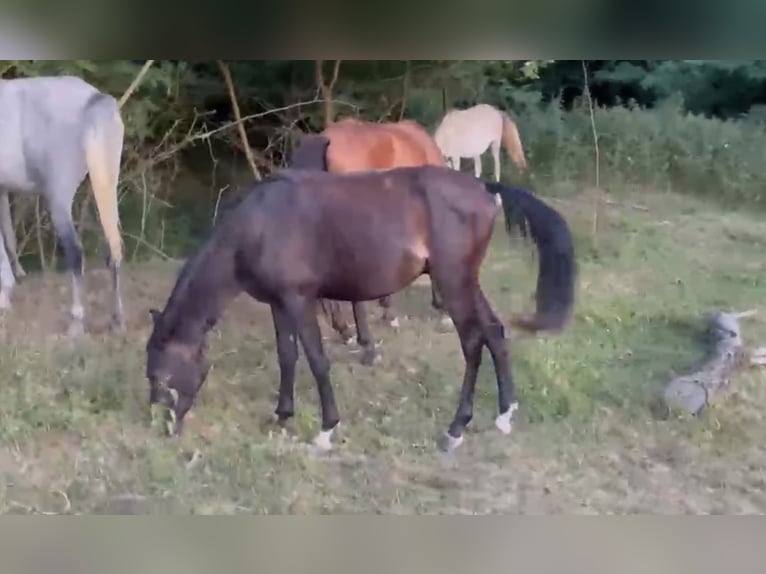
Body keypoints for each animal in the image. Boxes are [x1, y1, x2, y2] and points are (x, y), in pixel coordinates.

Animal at [0, 75, 126, 336]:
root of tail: (93, 98)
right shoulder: (2, 189)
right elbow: (8, 234)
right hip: (107, 186)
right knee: (114, 246)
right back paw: (117, 320)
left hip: (59, 198)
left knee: (75, 252)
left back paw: (76, 322)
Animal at [145, 164, 576, 453]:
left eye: (160, 375)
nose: (162, 427)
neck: (259, 225)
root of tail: (484, 188)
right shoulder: (279, 304)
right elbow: (287, 356)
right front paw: (282, 415)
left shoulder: (300, 300)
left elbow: (317, 360)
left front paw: (325, 431)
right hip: (467, 283)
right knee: (495, 333)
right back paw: (504, 415)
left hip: (453, 284)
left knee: (472, 342)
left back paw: (456, 429)